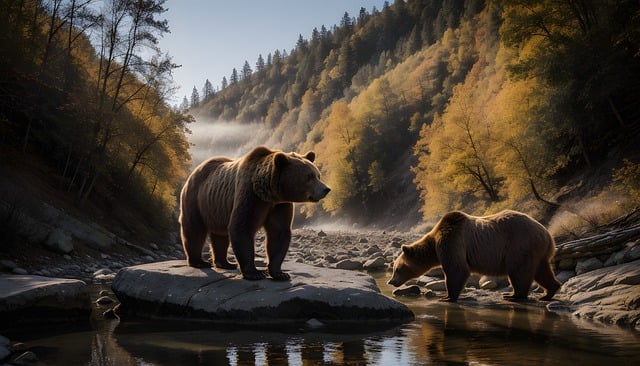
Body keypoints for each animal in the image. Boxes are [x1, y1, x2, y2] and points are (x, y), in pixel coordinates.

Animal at [179, 145, 330, 280]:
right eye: (309, 177)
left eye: (318, 175)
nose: (326, 189)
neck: (268, 193)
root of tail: (195, 170)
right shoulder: (250, 195)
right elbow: (242, 227)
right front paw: (255, 273)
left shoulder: (279, 205)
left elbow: (279, 232)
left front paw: (280, 273)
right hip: (195, 199)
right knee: (194, 229)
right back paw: (199, 262)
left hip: (216, 207)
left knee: (220, 235)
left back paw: (226, 263)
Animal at [384, 210, 560, 302]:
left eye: (397, 268)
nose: (390, 281)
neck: (434, 245)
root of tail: (547, 234)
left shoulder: (452, 241)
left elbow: (457, 270)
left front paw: (446, 296)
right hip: (537, 252)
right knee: (542, 271)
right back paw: (547, 293)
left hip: (520, 245)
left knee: (519, 272)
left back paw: (513, 295)